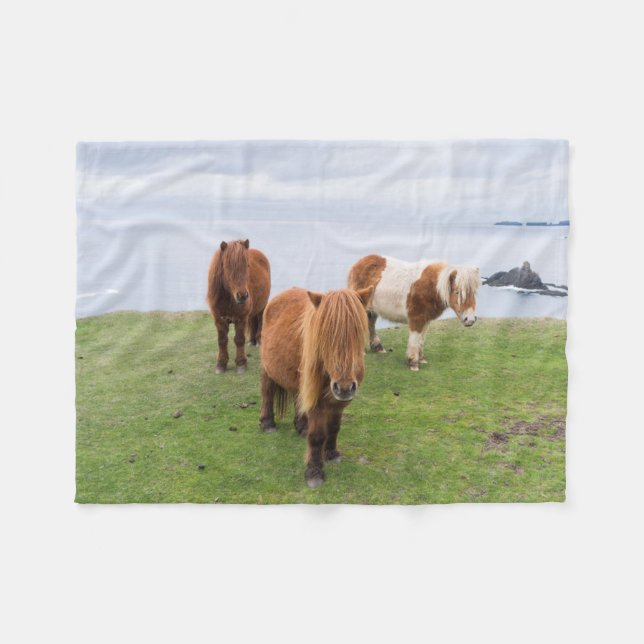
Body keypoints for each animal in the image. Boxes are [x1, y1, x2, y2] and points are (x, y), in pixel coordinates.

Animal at [207, 239, 271, 374]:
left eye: (247, 265)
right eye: (227, 266)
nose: (242, 296)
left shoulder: (241, 318)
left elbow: (239, 339)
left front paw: (241, 364)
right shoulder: (219, 320)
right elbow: (222, 340)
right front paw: (221, 364)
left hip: (262, 306)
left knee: (260, 319)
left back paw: (258, 340)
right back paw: (252, 341)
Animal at [259, 286, 373, 487]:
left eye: (357, 333)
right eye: (325, 336)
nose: (344, 387)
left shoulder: (338, 403)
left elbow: (334, 427)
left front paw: (331, 454)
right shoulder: (318, 403)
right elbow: (317, 436)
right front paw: (314, 471)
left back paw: (301, 426)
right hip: (268, 369)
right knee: (267, 393)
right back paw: (268, 424)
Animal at [348, 254, 480, 371]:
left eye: (474, 293)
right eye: (457, 292)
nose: (470, 319)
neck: (431, 287)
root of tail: (359, 263)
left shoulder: (426, 320)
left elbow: (421, 339)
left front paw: (421, 358)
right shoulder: (416, 318)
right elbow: (415, 339)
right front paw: (413, 363)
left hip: (372, 309)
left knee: (370, 324)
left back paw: (378, 347)